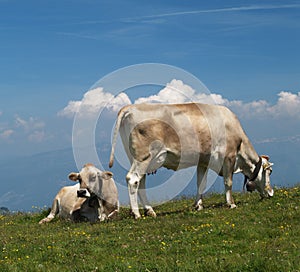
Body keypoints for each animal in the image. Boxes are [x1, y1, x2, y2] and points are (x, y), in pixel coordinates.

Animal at [109, 102, 274, 219]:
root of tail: (130, 107)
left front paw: (198, 205)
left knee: (140, 181)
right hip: (144, 157)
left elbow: (201, 183)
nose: (271, 193)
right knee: (133, 179)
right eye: (270, 171)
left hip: (138, 158)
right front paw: (231, 204)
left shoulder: (203, 160)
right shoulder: (229, 156)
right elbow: (228, 181)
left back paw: (149, 210)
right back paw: (136, 214)